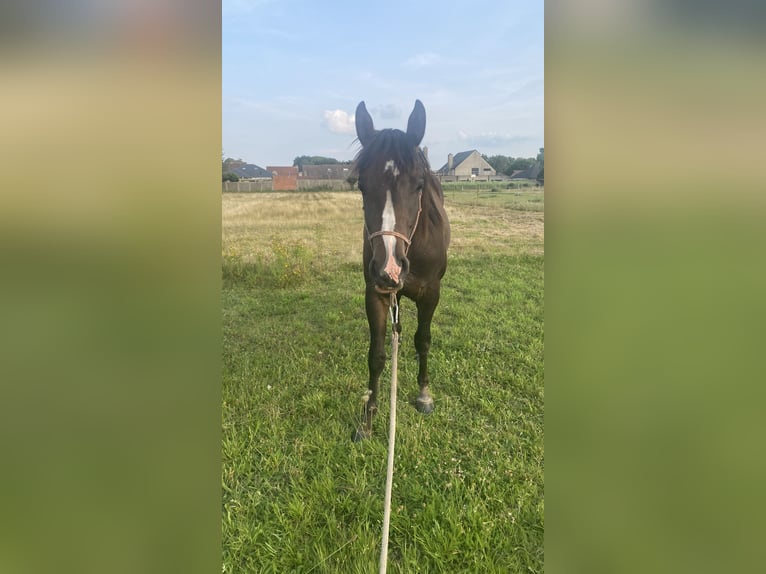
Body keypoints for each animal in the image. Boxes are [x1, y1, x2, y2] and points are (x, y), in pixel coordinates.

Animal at [352, 99, 450, 444]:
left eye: (418, 184)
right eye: (361, 186)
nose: (389, 268)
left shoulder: (430, 293)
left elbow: (424, 340)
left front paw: (424, 395)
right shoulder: (376, 293)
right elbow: (377, 355)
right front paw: (367, 419)